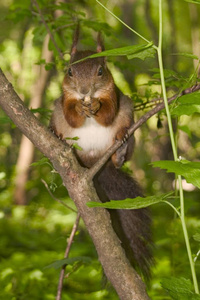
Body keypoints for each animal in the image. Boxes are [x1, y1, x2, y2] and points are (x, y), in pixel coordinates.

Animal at [50, 28, 153, 278]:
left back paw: (121, 149)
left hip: (128, 116)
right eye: (70, 71)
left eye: (100, 70)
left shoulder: (112, 93)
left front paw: (97, 106)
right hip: (56, 114)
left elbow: (108, 113)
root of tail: (95, 162)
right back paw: (55, 133)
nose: (84, 91)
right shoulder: (65, 97)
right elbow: (71, 117)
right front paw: (79, 108)